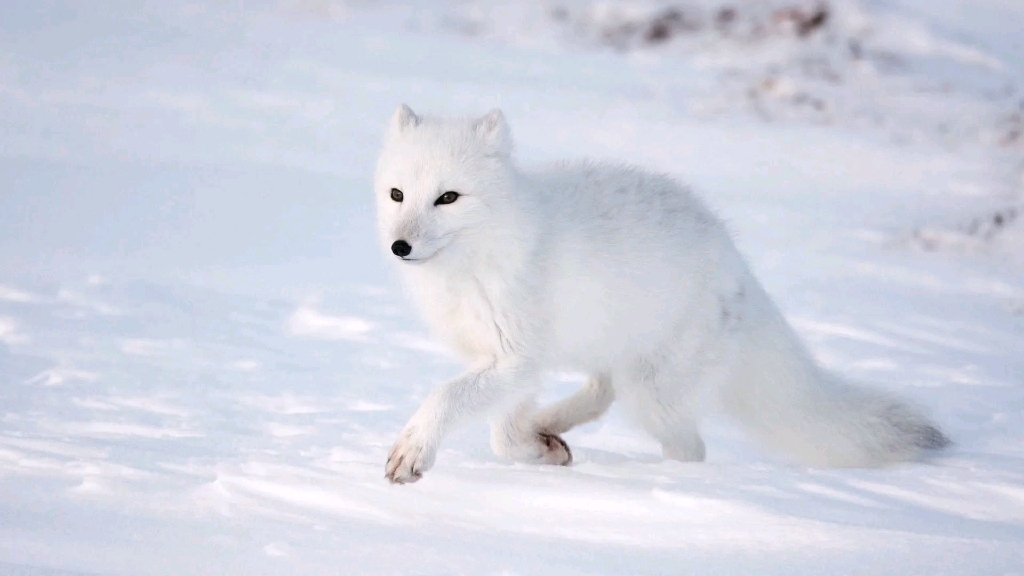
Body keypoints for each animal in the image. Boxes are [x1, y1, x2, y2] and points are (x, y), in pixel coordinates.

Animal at [378, 104, 950, 483]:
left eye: (448, 198)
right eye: (397, 193)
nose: (399, 247)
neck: (477, 259)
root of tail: (739, 267)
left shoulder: (514, 359)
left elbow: (449, 400)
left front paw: (414, 451)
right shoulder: (513, 366)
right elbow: (502, 434)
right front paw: (542, 453)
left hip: (652, 392)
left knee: (689, 446)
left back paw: (664, 484)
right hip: (619, 360)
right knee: (601, 392)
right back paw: (551, 427)